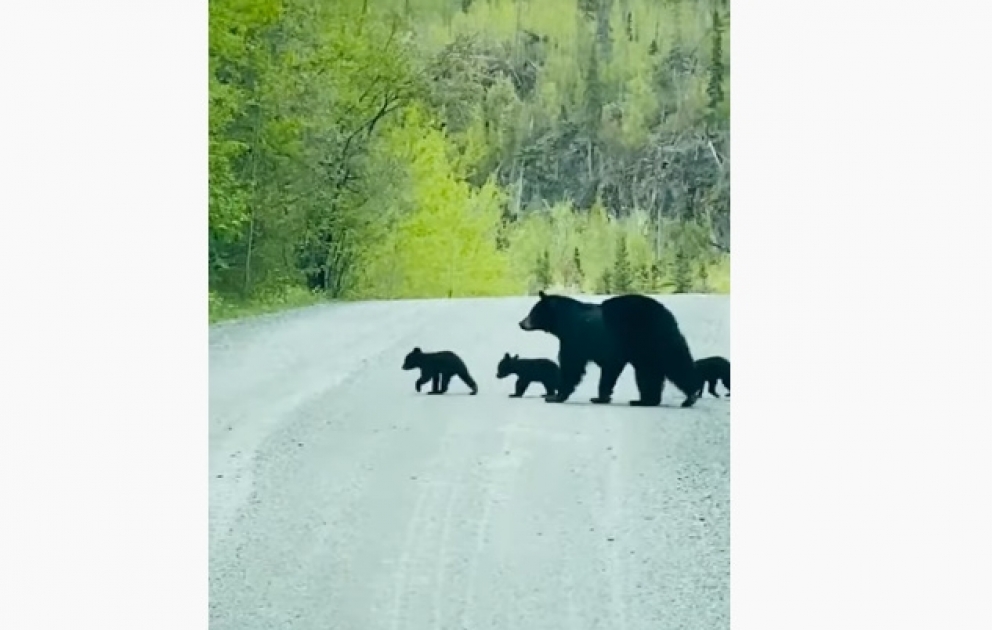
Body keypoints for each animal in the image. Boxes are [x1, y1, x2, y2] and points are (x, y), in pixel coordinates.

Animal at [517, 290, 701, 408]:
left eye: (532, 312)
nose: (521, 323)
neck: (563, 322)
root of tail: (668, 314)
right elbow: (609, 369)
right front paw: (601, 397)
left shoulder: (575, 340)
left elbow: (572, 366)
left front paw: (556, 396)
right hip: (646, 350)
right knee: (649, 373)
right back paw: (645, 400)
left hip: (652, 338)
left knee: (674, 362)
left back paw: (690, 396)